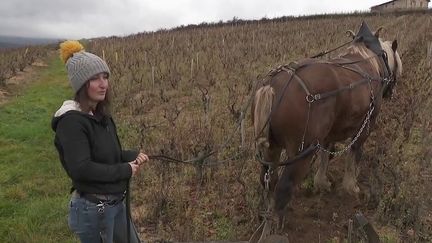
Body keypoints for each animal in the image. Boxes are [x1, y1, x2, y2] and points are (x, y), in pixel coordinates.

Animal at [251, 22, 404, 232]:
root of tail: (271, 86)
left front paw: (321, 182)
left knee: (268, 180)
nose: (392, 92)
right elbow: (355, 154)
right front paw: (351, 186)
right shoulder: (367, 124)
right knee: (283, 189)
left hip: (272, 148)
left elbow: (326, 154)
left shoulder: (327, 134)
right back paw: (278, 227)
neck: (369, 58)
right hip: (302, 152)